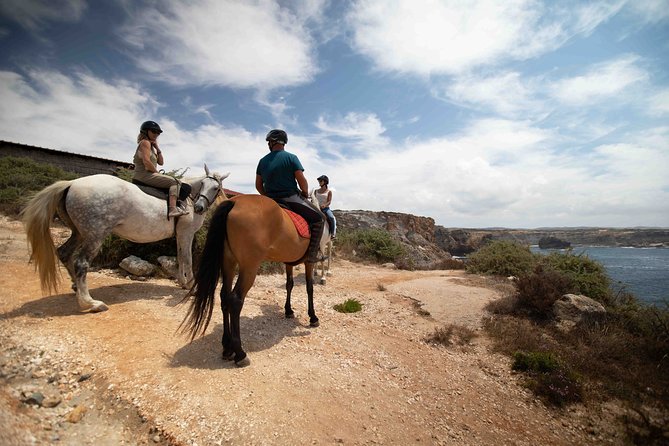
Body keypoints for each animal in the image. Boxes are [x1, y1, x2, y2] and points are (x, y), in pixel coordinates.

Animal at [21, 165, 227, 313]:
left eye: (216, 188)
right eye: (204, 185)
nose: (199, 207)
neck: (190, 198)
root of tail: (72, 183)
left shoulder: (181, 235)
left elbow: (180, 258)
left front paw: (183, 284)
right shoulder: (186, 233)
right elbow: (187, 259)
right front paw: (191, 286)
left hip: (79, 233)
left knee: (64, 253)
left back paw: (76, 289)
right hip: (95, 235)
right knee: (81, 263)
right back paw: (90, 303)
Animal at [181, 193, 330, 367]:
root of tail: (234, 202)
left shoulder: (288, 262)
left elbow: (289, 285)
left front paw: (288, 310)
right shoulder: (309, 262)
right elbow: (309, 288)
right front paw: (313, 317)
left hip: (228, 262)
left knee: (224, 297)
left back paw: (227, 348)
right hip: (249, 267)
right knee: (235, 300)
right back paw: (240, 353)